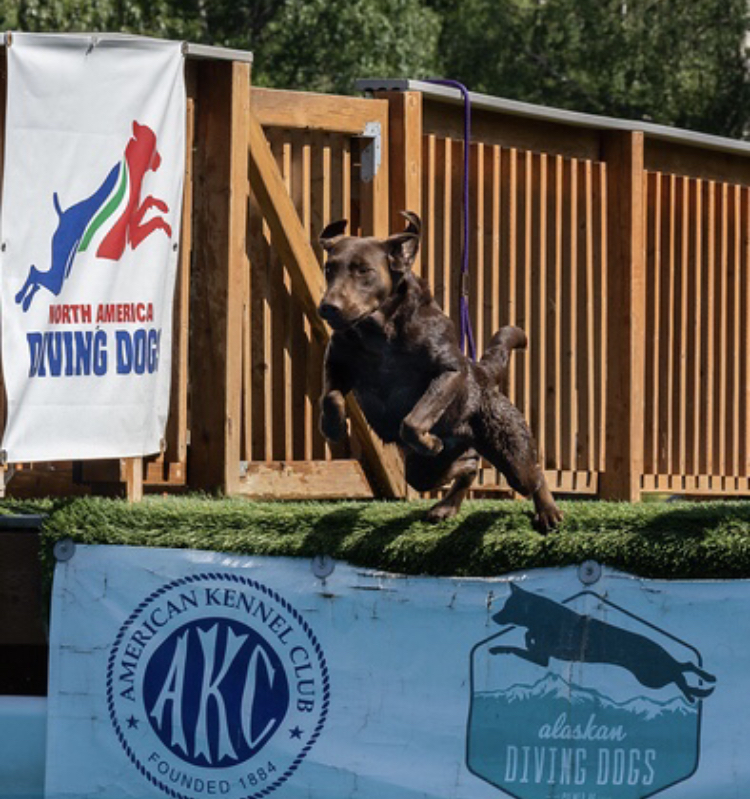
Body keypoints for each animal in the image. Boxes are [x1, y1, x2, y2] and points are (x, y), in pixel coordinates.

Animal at [16, 119, 172, 312]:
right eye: (151, 144)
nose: (159, 161)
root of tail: (62, 215)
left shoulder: (132, 237)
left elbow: (151, 206)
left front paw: (163, 210)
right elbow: (154, 218)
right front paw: (165, 222)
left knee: (39, 277)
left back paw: (25, 300)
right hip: (60, 269)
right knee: (37, 274)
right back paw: (22, 298)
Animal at [318, 211, 564, 532]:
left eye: (363, 270)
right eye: (329, 269)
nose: (327, 307)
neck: (379, 332)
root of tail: (483, 372)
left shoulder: (448, 372)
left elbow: (412, 421)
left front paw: (429, 440)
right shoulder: (338, 362)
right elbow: (330, 396)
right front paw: (333, 426)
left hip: (508, 447)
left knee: (532, 475)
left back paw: (548, 511)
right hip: (424, 469)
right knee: (464, 468)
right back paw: (447, 504)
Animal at [490, 584, 720, 704]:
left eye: (507, 606)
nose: (493, 617)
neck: (541, 617)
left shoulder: (540, 657)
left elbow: (513, 647)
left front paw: (496, 649)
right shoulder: (540, 655)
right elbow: (525, 640)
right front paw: (525, 637)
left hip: (652, 676)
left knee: (679, 672)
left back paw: (696, 689)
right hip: (655, 674)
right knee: (684, 667)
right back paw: (701, 684)